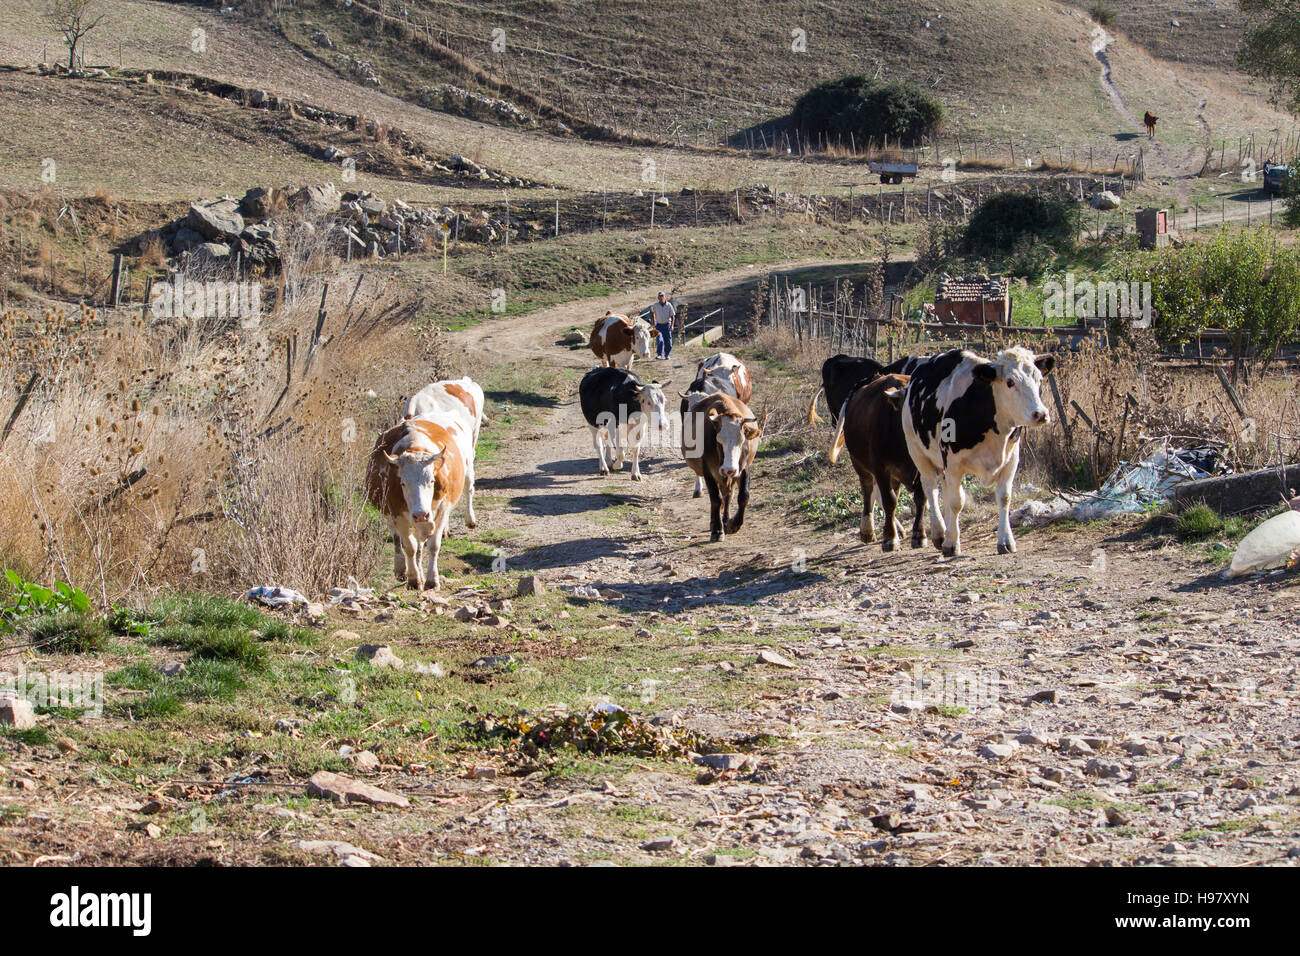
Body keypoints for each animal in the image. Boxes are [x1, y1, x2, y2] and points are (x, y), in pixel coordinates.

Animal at [366, 418, 467, 590]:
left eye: (432, 481)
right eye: (403, 483)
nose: (420, 514)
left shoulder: (442, 509)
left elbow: (433, 545)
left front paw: (432, 580)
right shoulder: (397, 513)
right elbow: (409, 546)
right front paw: (414, 579)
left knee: (420, 542)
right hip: (389, 514)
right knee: (398, 539)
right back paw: (401, 568)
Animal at [681, 392, 759, 541]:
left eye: (742, 441)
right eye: (719, 441)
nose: (729, 469)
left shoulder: (743, 468)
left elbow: (743, 496)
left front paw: (734, 524)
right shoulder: (709, 471)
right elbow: (715, 499)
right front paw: (717, 530)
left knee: (728, 495)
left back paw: (726, 521)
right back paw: (715, 523)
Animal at [826, 374, 930, 554]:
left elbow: (920, 498)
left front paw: (919, 534)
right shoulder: (881, 469)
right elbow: (889, 501)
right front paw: (890, 538)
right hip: (860, 464)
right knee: (868, 491)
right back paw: (868, 530)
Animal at [904, 348, 1055, 556]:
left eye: (1039, 379)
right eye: (1010, 382)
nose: (1040, 414)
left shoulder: (1011, 460)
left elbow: (1004, 498)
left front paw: (1005, 541)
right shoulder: (952, 463)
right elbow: (956, 502)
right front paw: (951, 543)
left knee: (945, 490)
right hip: (917, 451)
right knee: (930, 489)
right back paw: (940, 533)